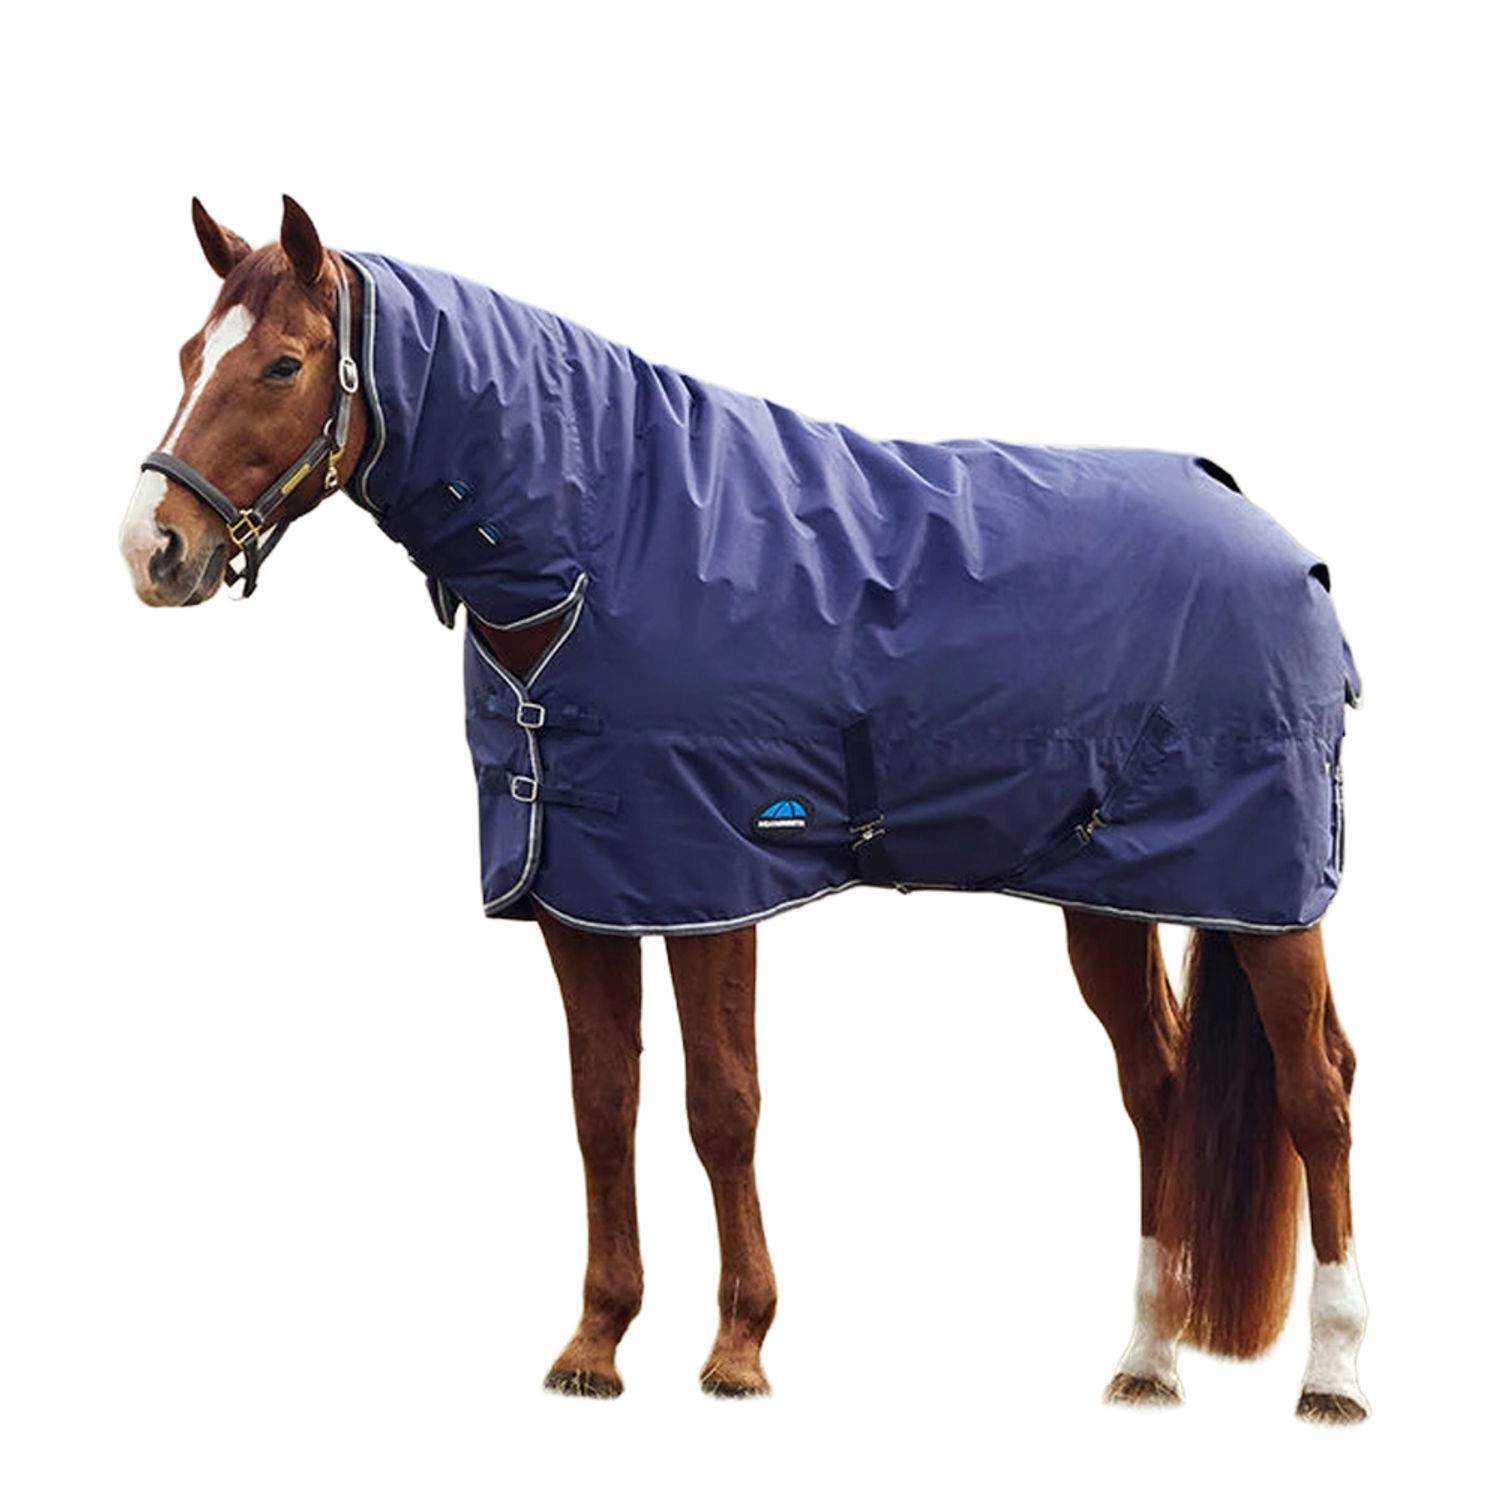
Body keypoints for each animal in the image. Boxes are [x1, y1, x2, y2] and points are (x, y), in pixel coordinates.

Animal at [118, 196, 1368, 1421]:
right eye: (187, 355)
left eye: (282, 365)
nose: (152, 548)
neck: (606, 544)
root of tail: (1285, 546)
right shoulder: (581, 896)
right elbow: (603, 1105)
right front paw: (596, 1344)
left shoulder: (711, 882)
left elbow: (722, 1107)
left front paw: (738, 1350)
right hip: (1110, 898)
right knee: (1158, 1090)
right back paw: (1148, 1362)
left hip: (1271, 897)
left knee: (1319, 1093)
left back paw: (1335, 1374)